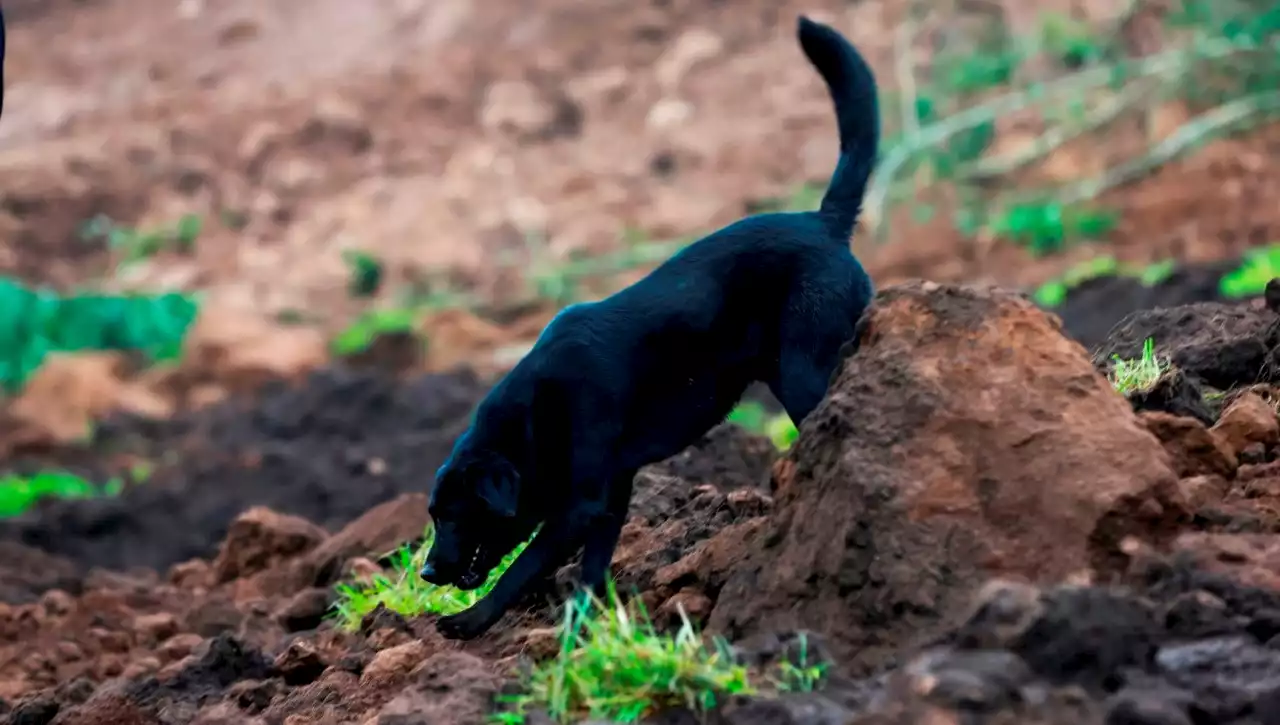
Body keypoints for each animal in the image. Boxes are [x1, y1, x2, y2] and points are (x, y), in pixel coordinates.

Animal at [419, 15, 880, 643]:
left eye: (454, 515)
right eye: (432, 515)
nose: (425, 571)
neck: (534, 416)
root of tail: (823, 222)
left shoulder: (581, 501)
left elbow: (523, 566)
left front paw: (472, 620)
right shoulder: (611, 493)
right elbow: (590, 566)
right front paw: (584, 631)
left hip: (804, 372)